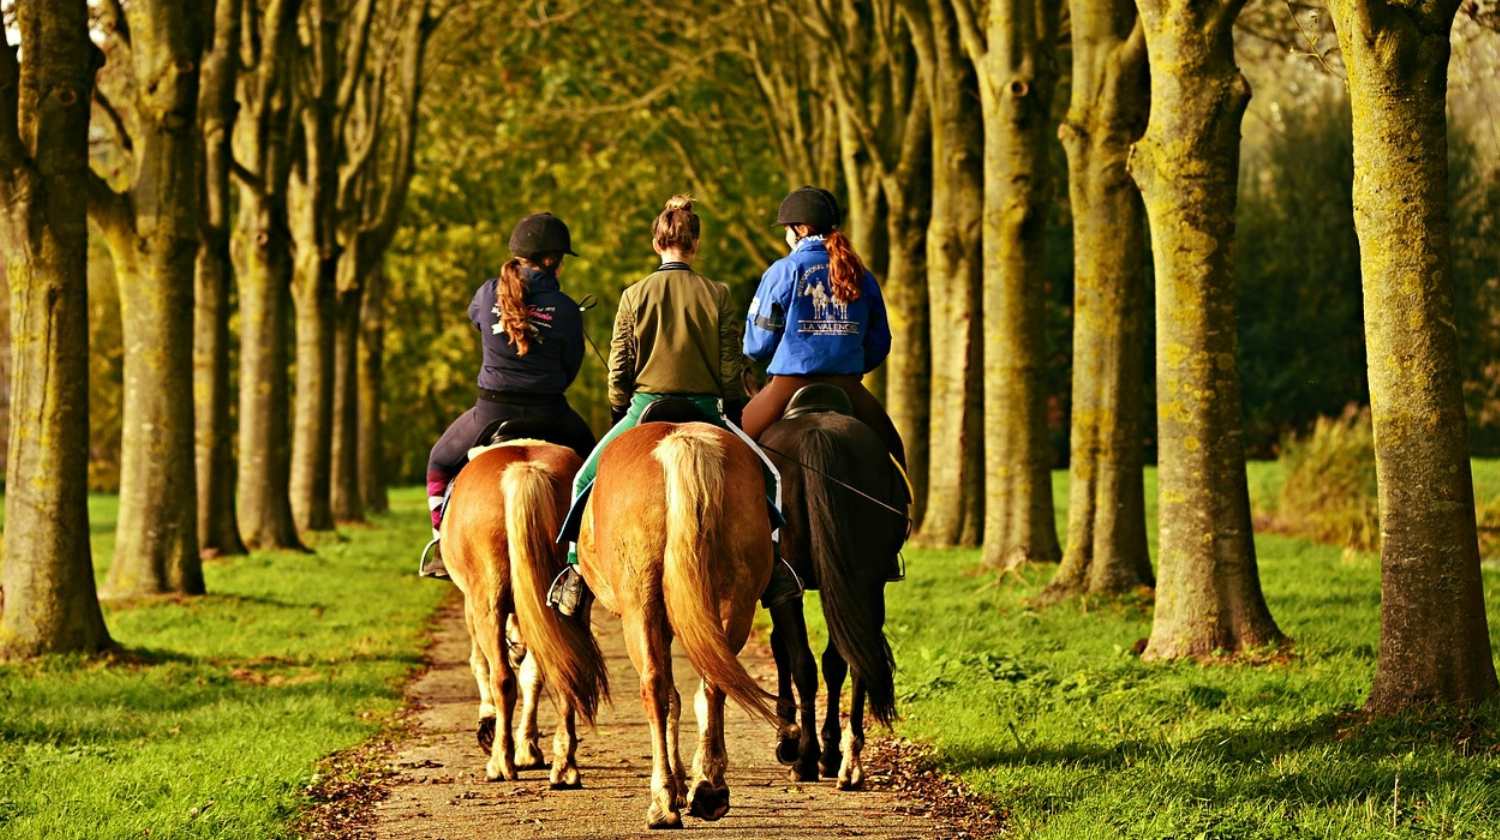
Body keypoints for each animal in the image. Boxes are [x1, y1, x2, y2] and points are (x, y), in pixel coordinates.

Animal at [441, 439, 609, 788]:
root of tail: (525, 469)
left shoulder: (471, 604)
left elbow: (480, 664)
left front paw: (489, 726)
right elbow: (533, 673)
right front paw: (529, 748)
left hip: (486, 601)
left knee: (502, 677)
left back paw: (500, 763)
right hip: (569, 605)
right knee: (564, 670)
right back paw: (565, 767)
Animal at [577, 411, 779, 829]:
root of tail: (682, 440)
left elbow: (669, 694)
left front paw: (677, 784)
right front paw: (691, 783)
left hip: (639, 606)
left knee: (653, 687)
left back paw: (663, 799)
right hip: (735, 601)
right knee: (714, 682)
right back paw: (710, 789)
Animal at [756, 383, 906, 790]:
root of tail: (817, 435)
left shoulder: (783, 591)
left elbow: (784, 651)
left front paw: (789, 741)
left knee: (805, 665)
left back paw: (807, 758)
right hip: (865, 581)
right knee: (853, 659)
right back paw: (847, 762)